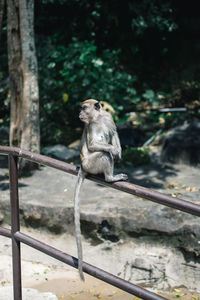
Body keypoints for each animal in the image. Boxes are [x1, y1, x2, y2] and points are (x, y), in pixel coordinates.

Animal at [74, 99, 128, 280]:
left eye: (84, 108)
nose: (80, 114)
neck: (97, 118)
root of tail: (82, 165)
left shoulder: (108, 117)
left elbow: (115, 133)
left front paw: (119, 151)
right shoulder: (90, 125)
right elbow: (93, 144)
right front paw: (113, 151)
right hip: (90, 163)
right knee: (103, 154)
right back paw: (110, 177)